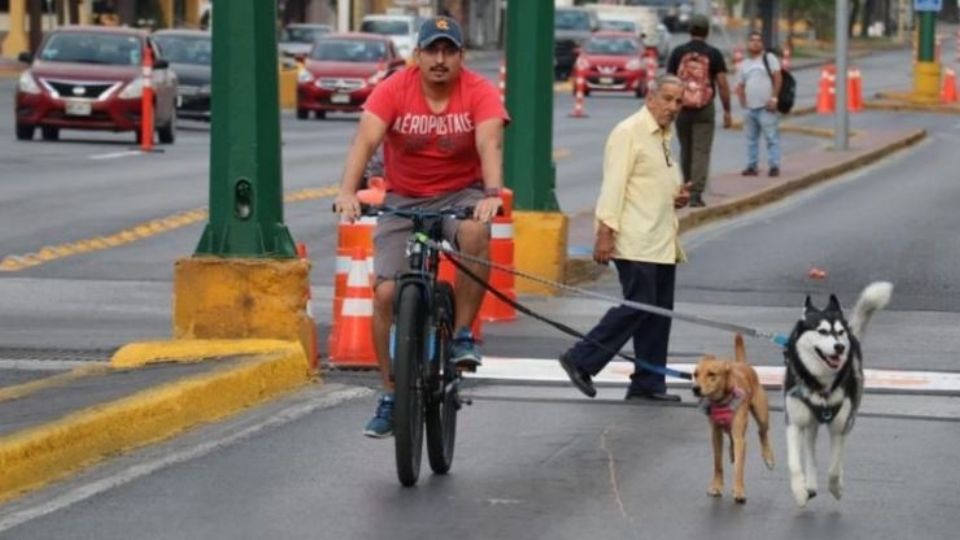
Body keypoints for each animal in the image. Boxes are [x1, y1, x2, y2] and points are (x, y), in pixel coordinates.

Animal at [688, 334, 772, 502]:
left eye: (712, 374)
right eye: (695, 374)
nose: (695, 389)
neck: (722, 401)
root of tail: (742, 364)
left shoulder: (740, 437)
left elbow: (739, 468)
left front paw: (739, 490)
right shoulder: (716, 434)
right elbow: (718, 463)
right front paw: (716, 485)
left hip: (762, 415)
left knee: (762, 432)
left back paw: (768, 457)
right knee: (734, 440)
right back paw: (732, 452)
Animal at [784, 280, 896, 508]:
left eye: (840, 331)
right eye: (822, 331)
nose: (840, 347)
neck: (820, 383)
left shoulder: (840, 425)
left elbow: (834, 468)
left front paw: (836, 489)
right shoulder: (794, 421)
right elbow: (794, 464)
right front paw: (799, 491)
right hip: (809, 419)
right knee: (809, 447)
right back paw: (809, 484)